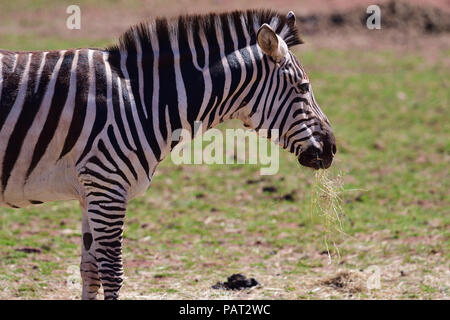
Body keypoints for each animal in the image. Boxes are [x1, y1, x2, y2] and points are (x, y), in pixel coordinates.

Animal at [0, 8, 334, 298]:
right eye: (303, 87)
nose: (332, 148)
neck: (142, 100)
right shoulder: (108, 186)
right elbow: (112, 272)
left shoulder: (91, 191)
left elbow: (90, 271)